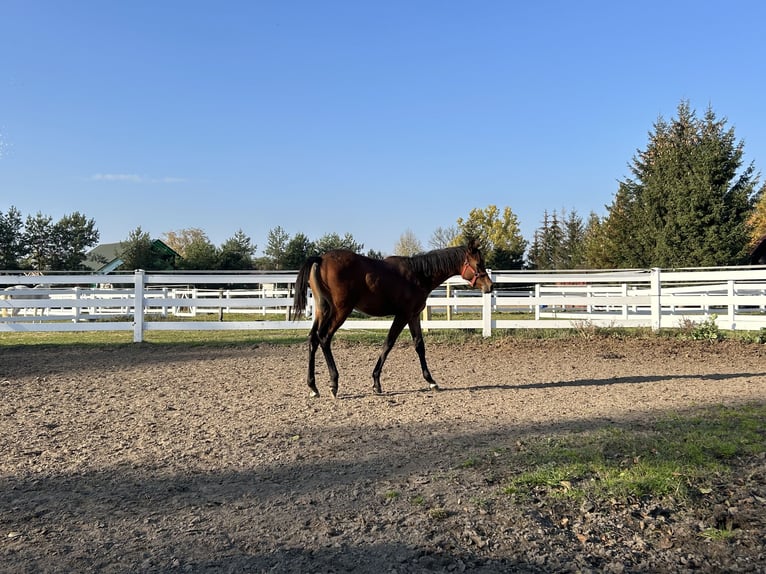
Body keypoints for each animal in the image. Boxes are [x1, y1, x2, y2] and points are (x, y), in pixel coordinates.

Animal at [292, 241, 496, 398]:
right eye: (478, 264)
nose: (490, 286)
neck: (418, 275)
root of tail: (320, 259)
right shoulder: (403, 315)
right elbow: (388, 344)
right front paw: (376, 382)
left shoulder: (413, 316)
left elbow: (419, 345)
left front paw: (431, 381)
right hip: (340, 311)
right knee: (324, 338)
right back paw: (334, 383)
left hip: (322, 310)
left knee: (313, 339)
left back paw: (313, 387)